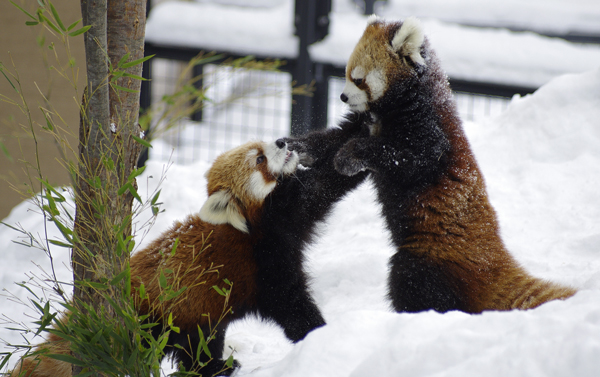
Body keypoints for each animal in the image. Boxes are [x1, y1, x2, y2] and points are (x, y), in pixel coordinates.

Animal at [11, 120, 368, 376]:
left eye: (263, 145)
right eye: (260, 158)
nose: (282, 142)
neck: (252, 220)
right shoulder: (267, 252)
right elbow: (291, 304)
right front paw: (322, 335)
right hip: (161, 318)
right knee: (192, 351)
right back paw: (217, 368)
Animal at [336, 16, 576, 312]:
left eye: (358, 79)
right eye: (346, 74)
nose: (343, 97)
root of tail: (492, 264)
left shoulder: (430, 132)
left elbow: (411, 160)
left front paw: (351, 154)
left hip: (432, 257)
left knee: (410, 279)